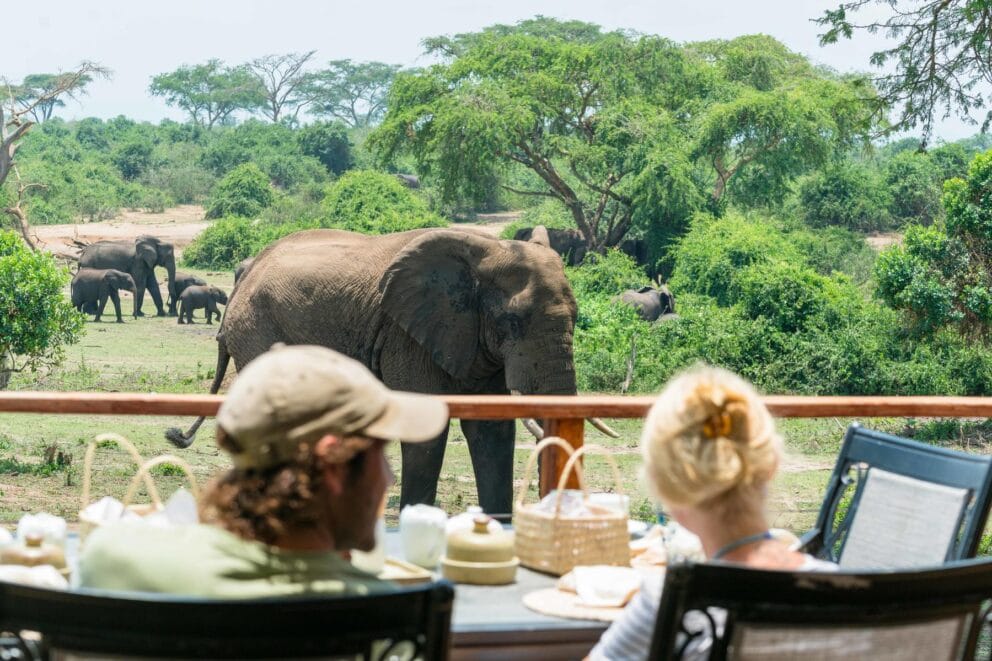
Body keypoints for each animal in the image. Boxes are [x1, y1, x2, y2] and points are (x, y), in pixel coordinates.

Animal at [166, 227, 615, 515]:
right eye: (513, 322)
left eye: (578, 317)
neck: (486, 251)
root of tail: (248, 271)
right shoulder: (409, 336)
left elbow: (492, 430)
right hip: (256, 330)